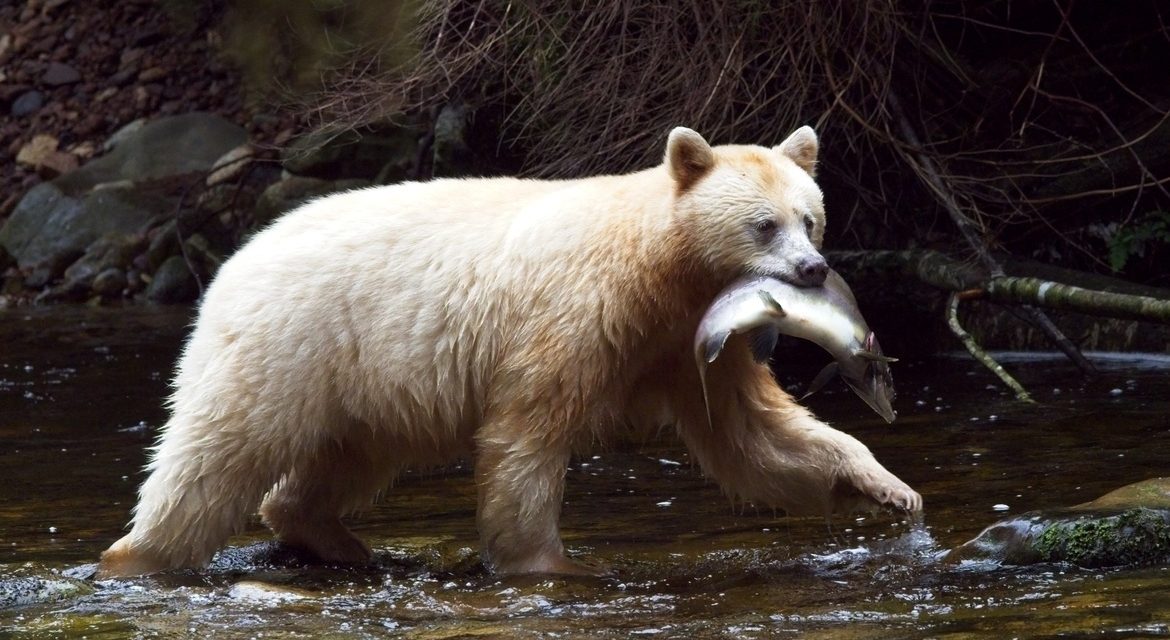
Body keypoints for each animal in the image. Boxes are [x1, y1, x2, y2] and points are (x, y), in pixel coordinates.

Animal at [96, 126, 921, 579]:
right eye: (762, 224)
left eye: (810, 216)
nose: (812, 269)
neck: (654, 270)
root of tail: (236, 259)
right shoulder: (578, 316)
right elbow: (528, 435)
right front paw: (548, 564)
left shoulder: (684, 344)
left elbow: (754, 439)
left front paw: (884, 487)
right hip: (288, 345)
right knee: (218, 454)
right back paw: (139, 556)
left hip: (361, 383)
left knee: (340, 460)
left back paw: (335, 539)